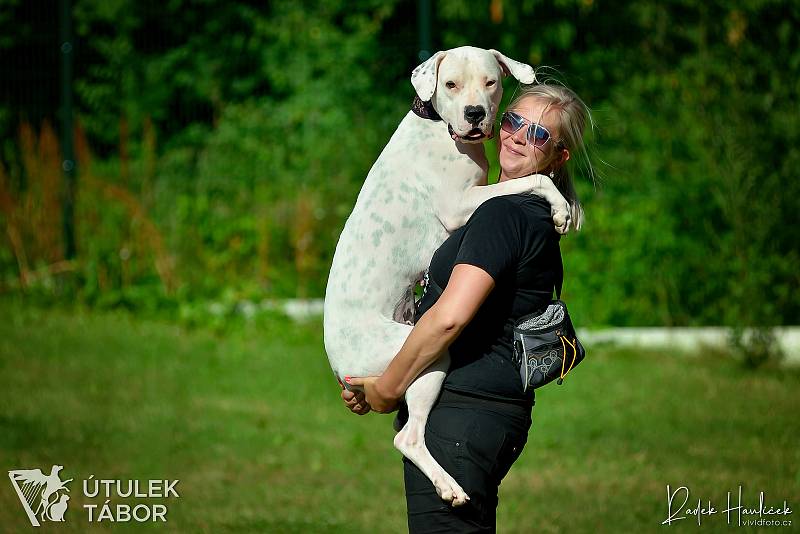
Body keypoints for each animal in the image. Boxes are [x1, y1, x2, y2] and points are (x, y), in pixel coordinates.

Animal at [322, 47, 572, 506]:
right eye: (451, 84)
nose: (475, 113)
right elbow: (534, 177)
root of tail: (338, 363)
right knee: (408, 437)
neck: (439, 128)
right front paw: (562, 208)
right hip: (425, 356)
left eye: (491, 82)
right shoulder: (461, 206)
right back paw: (447, 485)